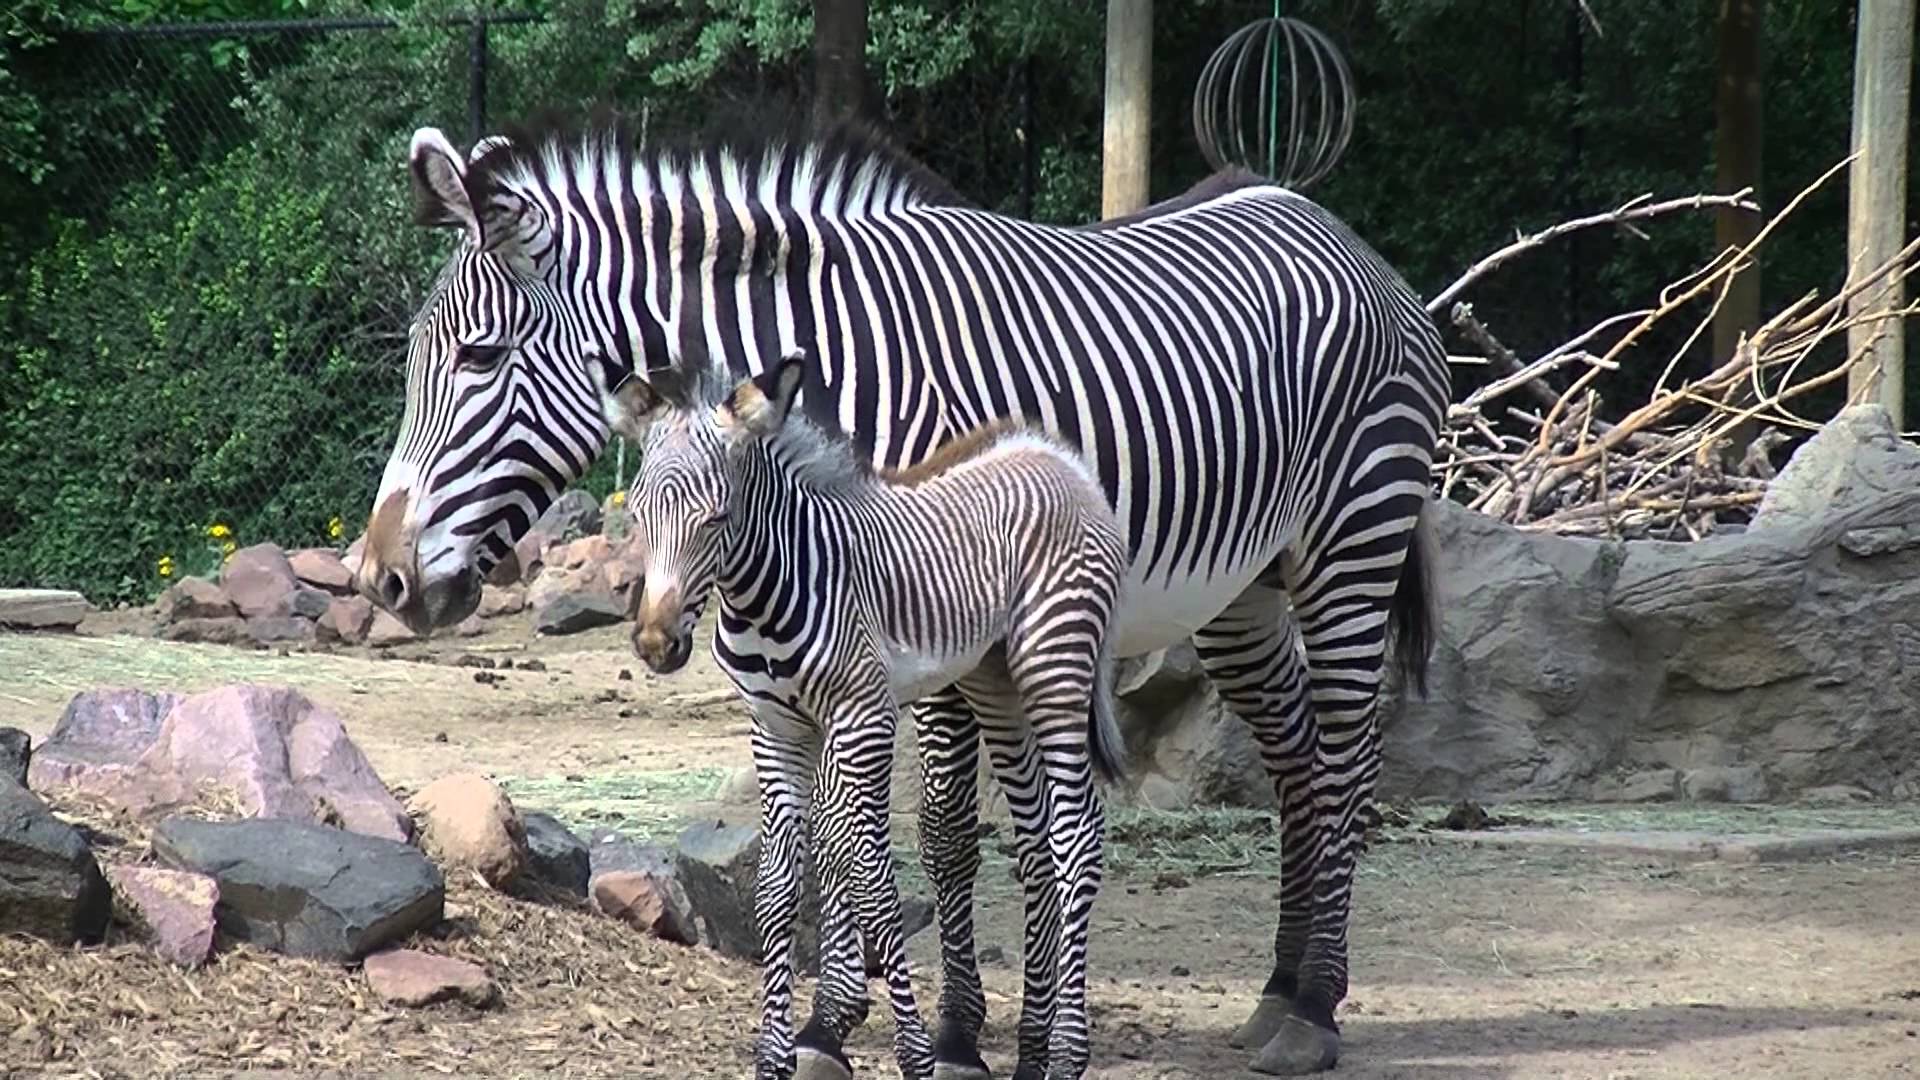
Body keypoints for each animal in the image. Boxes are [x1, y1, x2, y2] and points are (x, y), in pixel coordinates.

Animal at [618, 353, 1128, 1080]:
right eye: (636, 517)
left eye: (715, 520)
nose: (657, 645)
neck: (770, 591)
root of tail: (1055, 455)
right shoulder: (776, 730)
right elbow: (777, 892)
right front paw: (774, 1057)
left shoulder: (864, 720)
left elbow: (875, 892)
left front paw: (914, 1055)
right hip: (994, 681)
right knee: (1035, 845)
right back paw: (1033, 1051)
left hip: (1056, 664)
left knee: (1076, 837)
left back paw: (1065, 1053)